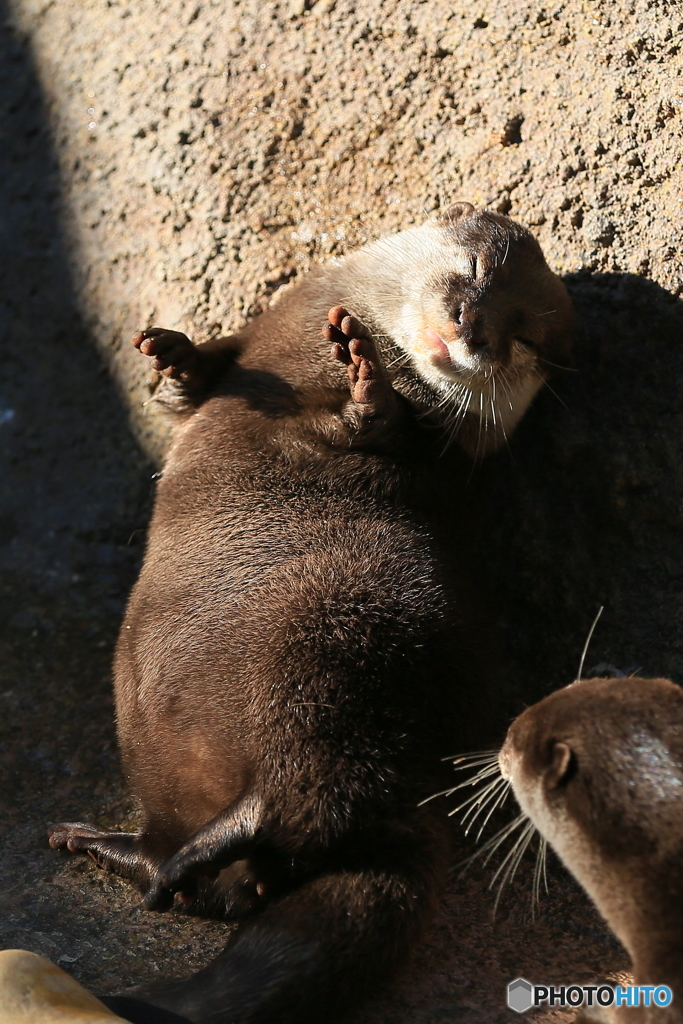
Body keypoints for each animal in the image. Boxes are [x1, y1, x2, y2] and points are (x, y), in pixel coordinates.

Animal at [46, 201, 573, 1024]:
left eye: (527, 339)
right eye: (478, 271)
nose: (475, 330)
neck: (303, 351)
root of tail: (410, 813)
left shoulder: (437, 454)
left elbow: (383, 431)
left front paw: (365, 376)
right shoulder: (254, 348)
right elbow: (191, 391)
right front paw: (171, 354)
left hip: (332, 665)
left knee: (301, 803)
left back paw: (175, 853)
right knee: (229, 889)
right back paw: (105, 847)